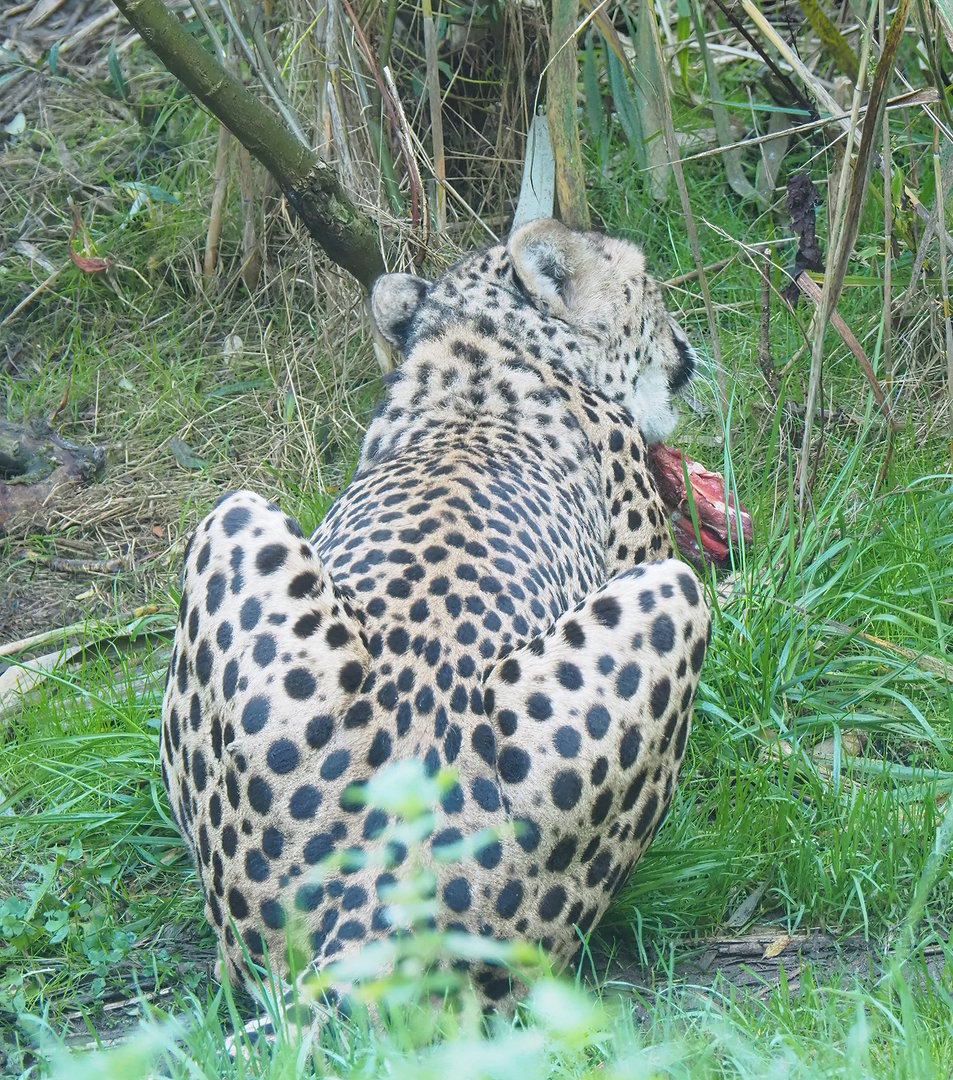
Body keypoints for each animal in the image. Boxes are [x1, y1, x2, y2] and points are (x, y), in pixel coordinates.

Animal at [160, 218, 712, 1014]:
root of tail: (374, 908)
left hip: (232, 519)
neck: (486, 339)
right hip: (673, 594)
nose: (684, 348)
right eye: (650, 290)